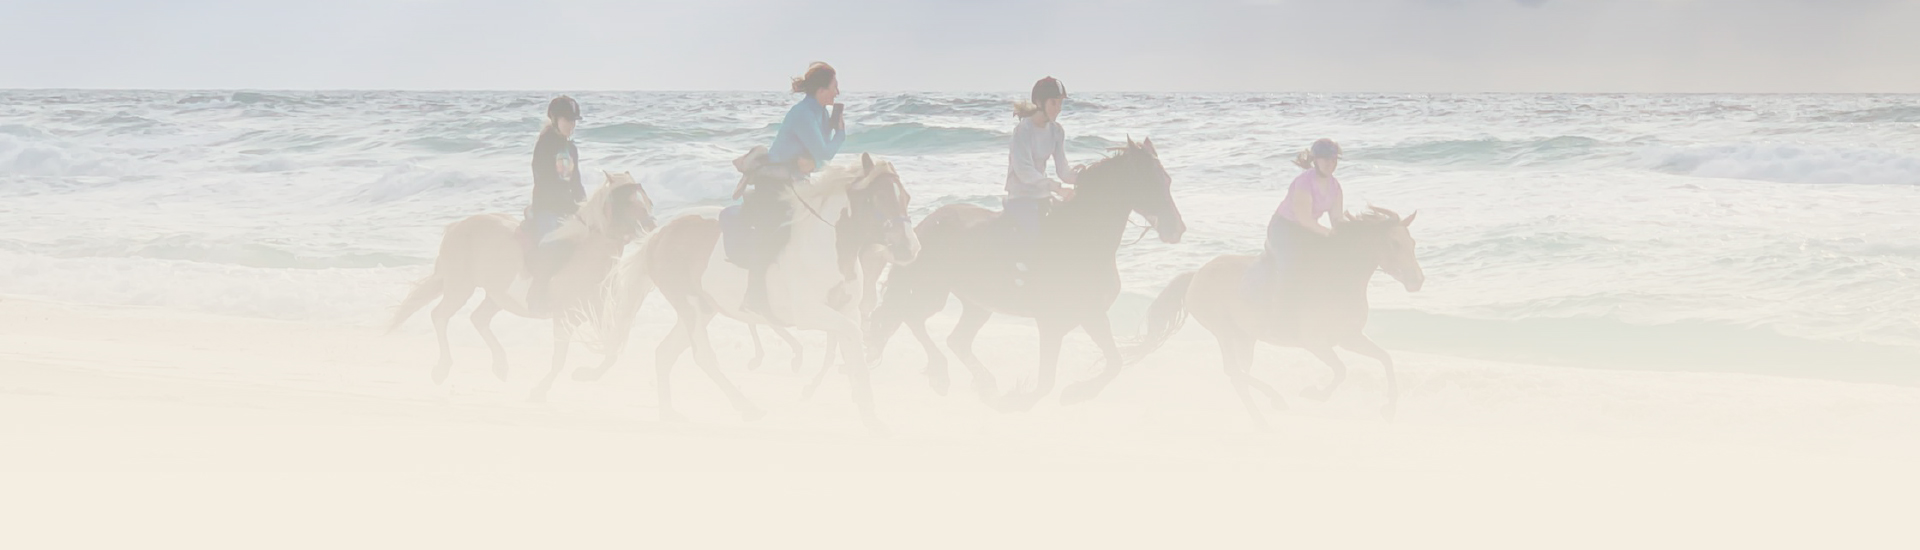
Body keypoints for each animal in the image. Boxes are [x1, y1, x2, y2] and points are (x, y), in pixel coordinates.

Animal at [385, 172, 656, 400]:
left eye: (643, 198)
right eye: (629, 200)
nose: (652, 224)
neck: (586, 255)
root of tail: (456, 227)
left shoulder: (597, 313)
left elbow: (612, 350)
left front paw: (584, 374)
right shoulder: (564, 317)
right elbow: (559, 359)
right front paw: (540, 389)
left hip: (496, 296)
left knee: (478, 318)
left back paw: (500, 366)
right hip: (460, 288)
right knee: (440, 315)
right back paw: (442, 370)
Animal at [572, 151, 917, 434]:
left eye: (906, 197)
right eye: (877, 198)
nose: (909, 248)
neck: (826, 245)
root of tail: (659, 235)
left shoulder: (843, 311)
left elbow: (849, 350)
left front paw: (871, 418)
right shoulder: (809, 314)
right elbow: (851, 339)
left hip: (702, 308)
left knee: (665, 353)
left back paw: (669, 414)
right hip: (690, 307)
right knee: (703, 357)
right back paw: (747, 408)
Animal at [871, 137, 1182, 411]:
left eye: (1167, 180)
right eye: (1147, 181)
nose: (1178, 229)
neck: (1083, 238)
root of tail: (922, 226)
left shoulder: (1093, 316)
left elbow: (1114, 362)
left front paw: (1075, 393)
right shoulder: (1051, 323)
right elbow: (1046, 381)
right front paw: (1019, 401)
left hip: (978, 305)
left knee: (955, 339)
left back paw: (985, 385)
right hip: (932, 293)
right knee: (909, 318)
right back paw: (942, 375)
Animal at [1121, 205, 1428, 428]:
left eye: (1413, 242)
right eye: (1393, 243)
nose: (1417, 281)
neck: (1338, 280)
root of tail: (1196, 275)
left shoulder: (1348, 337)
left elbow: (1385, 359)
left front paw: (1389, 410)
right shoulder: (1316, 343)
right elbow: (1342, 370)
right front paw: (1314, 394)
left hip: (1244, 337)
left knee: (1240, 373)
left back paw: (1267, 411)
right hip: (1224, 331)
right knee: (1233, 372)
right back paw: (1270, 410)